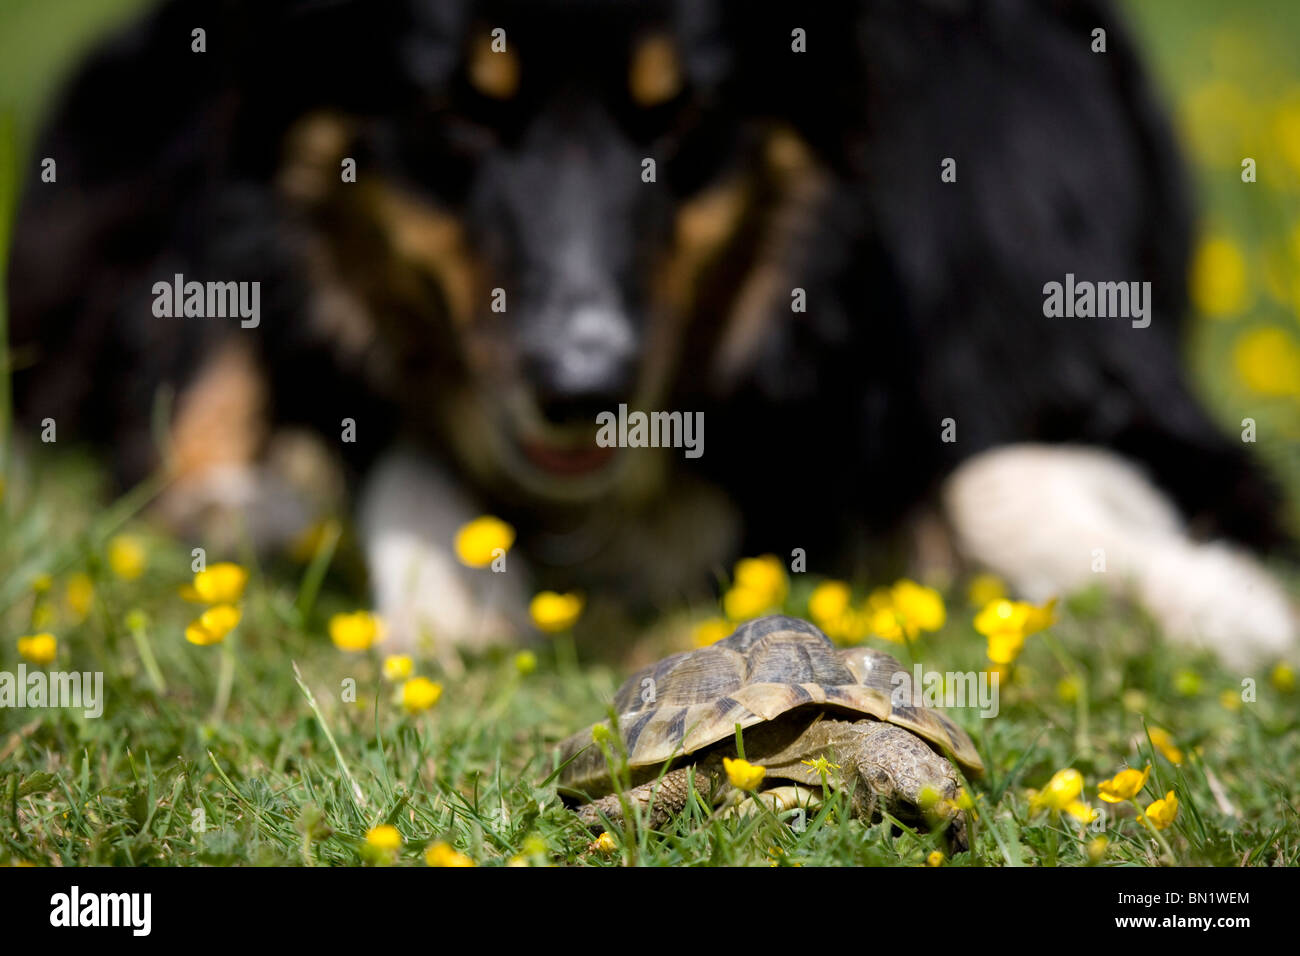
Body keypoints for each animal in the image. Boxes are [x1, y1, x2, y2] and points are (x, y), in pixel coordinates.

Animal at [7, 0, 1289, 658]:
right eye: (462, 112)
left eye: (678, 116)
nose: (580, 385)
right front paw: (444, 578)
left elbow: (1003, 476)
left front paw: (1225, 603)